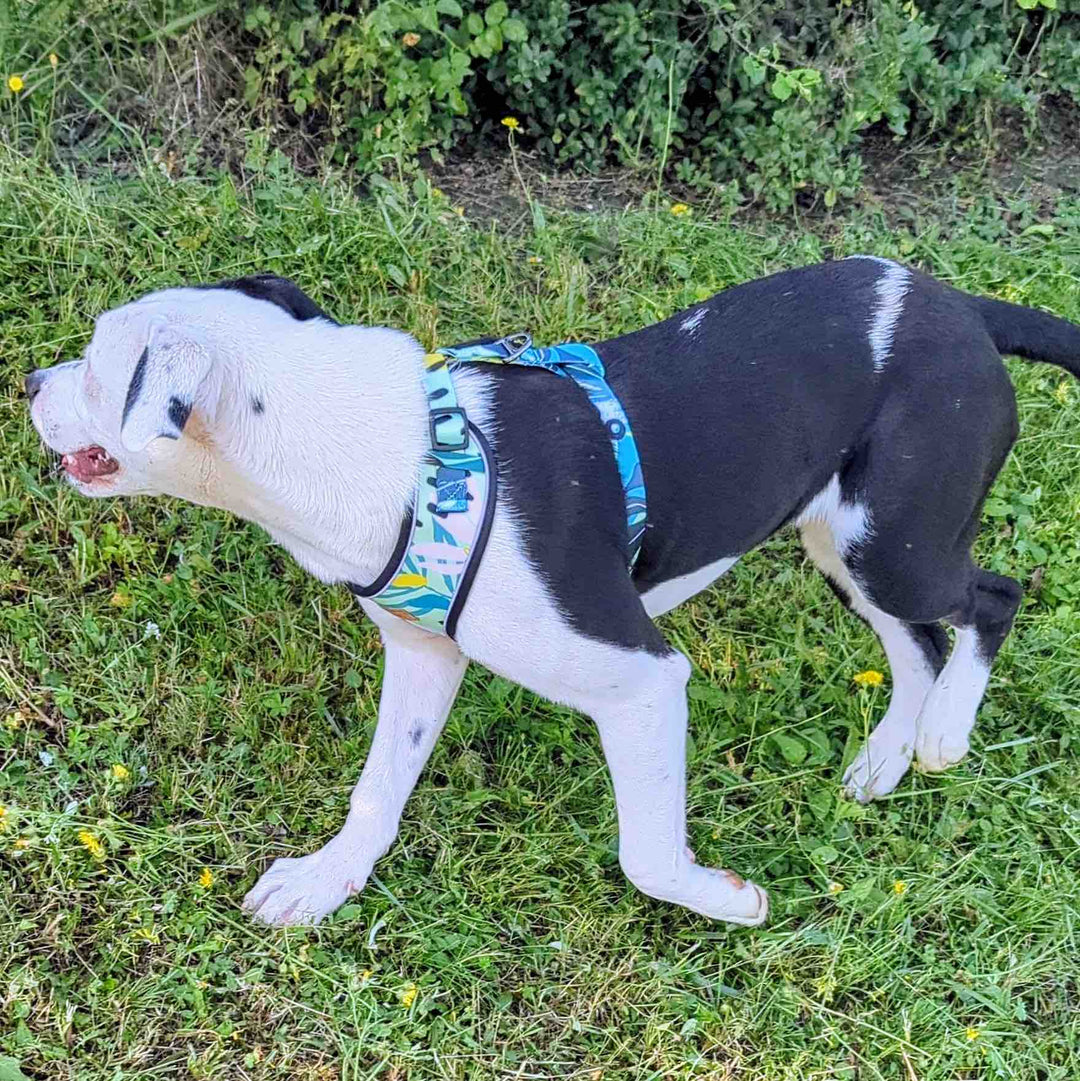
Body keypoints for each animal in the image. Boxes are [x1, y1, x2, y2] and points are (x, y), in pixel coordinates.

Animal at [25, 257, 1080, 925]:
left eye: (93, 366)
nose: (31, 380)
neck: (400, 456)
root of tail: (962, 306)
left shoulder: (643, 677)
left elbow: (646, 854)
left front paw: (727, 899)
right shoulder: (424, 654)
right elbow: (378, 788)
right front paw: (326, 881)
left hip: (893, 541)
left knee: (991, 597)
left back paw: (943, 736)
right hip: (842, 544)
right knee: (920, 643)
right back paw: (887, 759)